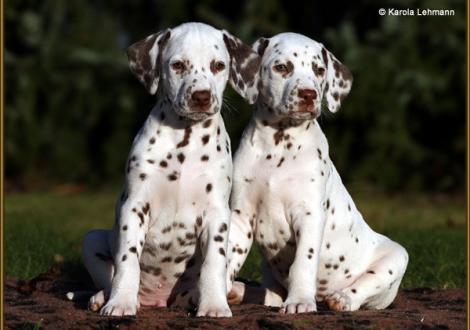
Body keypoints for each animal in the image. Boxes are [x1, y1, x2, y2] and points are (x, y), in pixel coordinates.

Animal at [82, 22, 262, 318]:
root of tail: (159, 300)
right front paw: (120, 303)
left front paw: (214, 305)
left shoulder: (217, 213)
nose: (201, 97)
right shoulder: (134, 206)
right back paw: (104, 297)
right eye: (177, 65)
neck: (185, 141)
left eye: (218, 65)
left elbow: (214, 263)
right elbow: (127, 259)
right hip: (92, 239)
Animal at [224, 33, 408, 314]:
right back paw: (239, 291)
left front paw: (300, 301)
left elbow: (303, 261)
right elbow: (229, 257)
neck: (279, 146)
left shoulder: (309, 215)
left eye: (319, 70)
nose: (309, 94)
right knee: (272, 294)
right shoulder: (241, 215)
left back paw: (342, 298)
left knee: (365, 286)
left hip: (396, 257)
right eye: (282, 67)